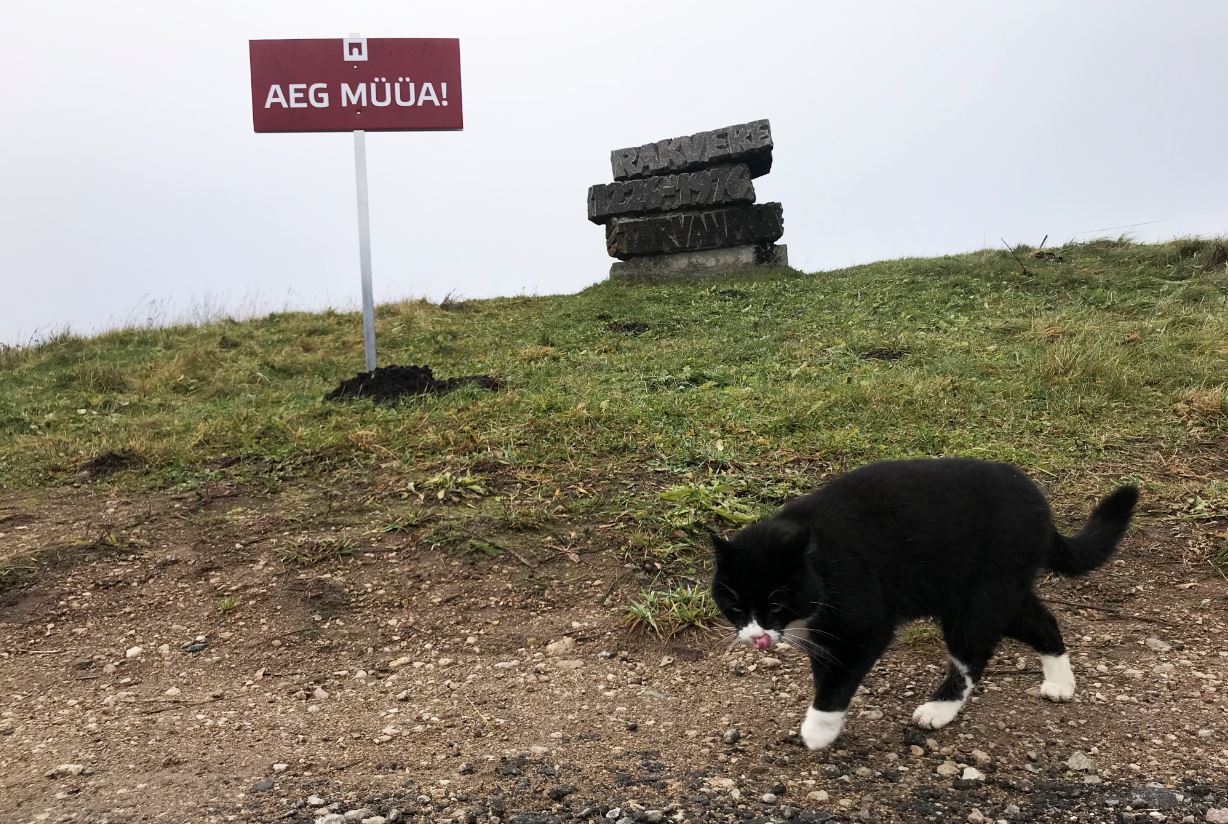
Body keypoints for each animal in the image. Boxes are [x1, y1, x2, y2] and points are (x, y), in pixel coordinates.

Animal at [712, 456, 1139, 756]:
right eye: (735, 607)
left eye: (775, 604)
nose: (755, 635)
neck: (818, 561)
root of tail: (1040, 507)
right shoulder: (823, 637)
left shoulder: (863, 628)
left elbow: (835, 683)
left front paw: (818, 731)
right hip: (991, 591)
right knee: (1042, 620)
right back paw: (1060, 683)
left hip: (980, 598)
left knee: (972, 656)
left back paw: (939, 709)